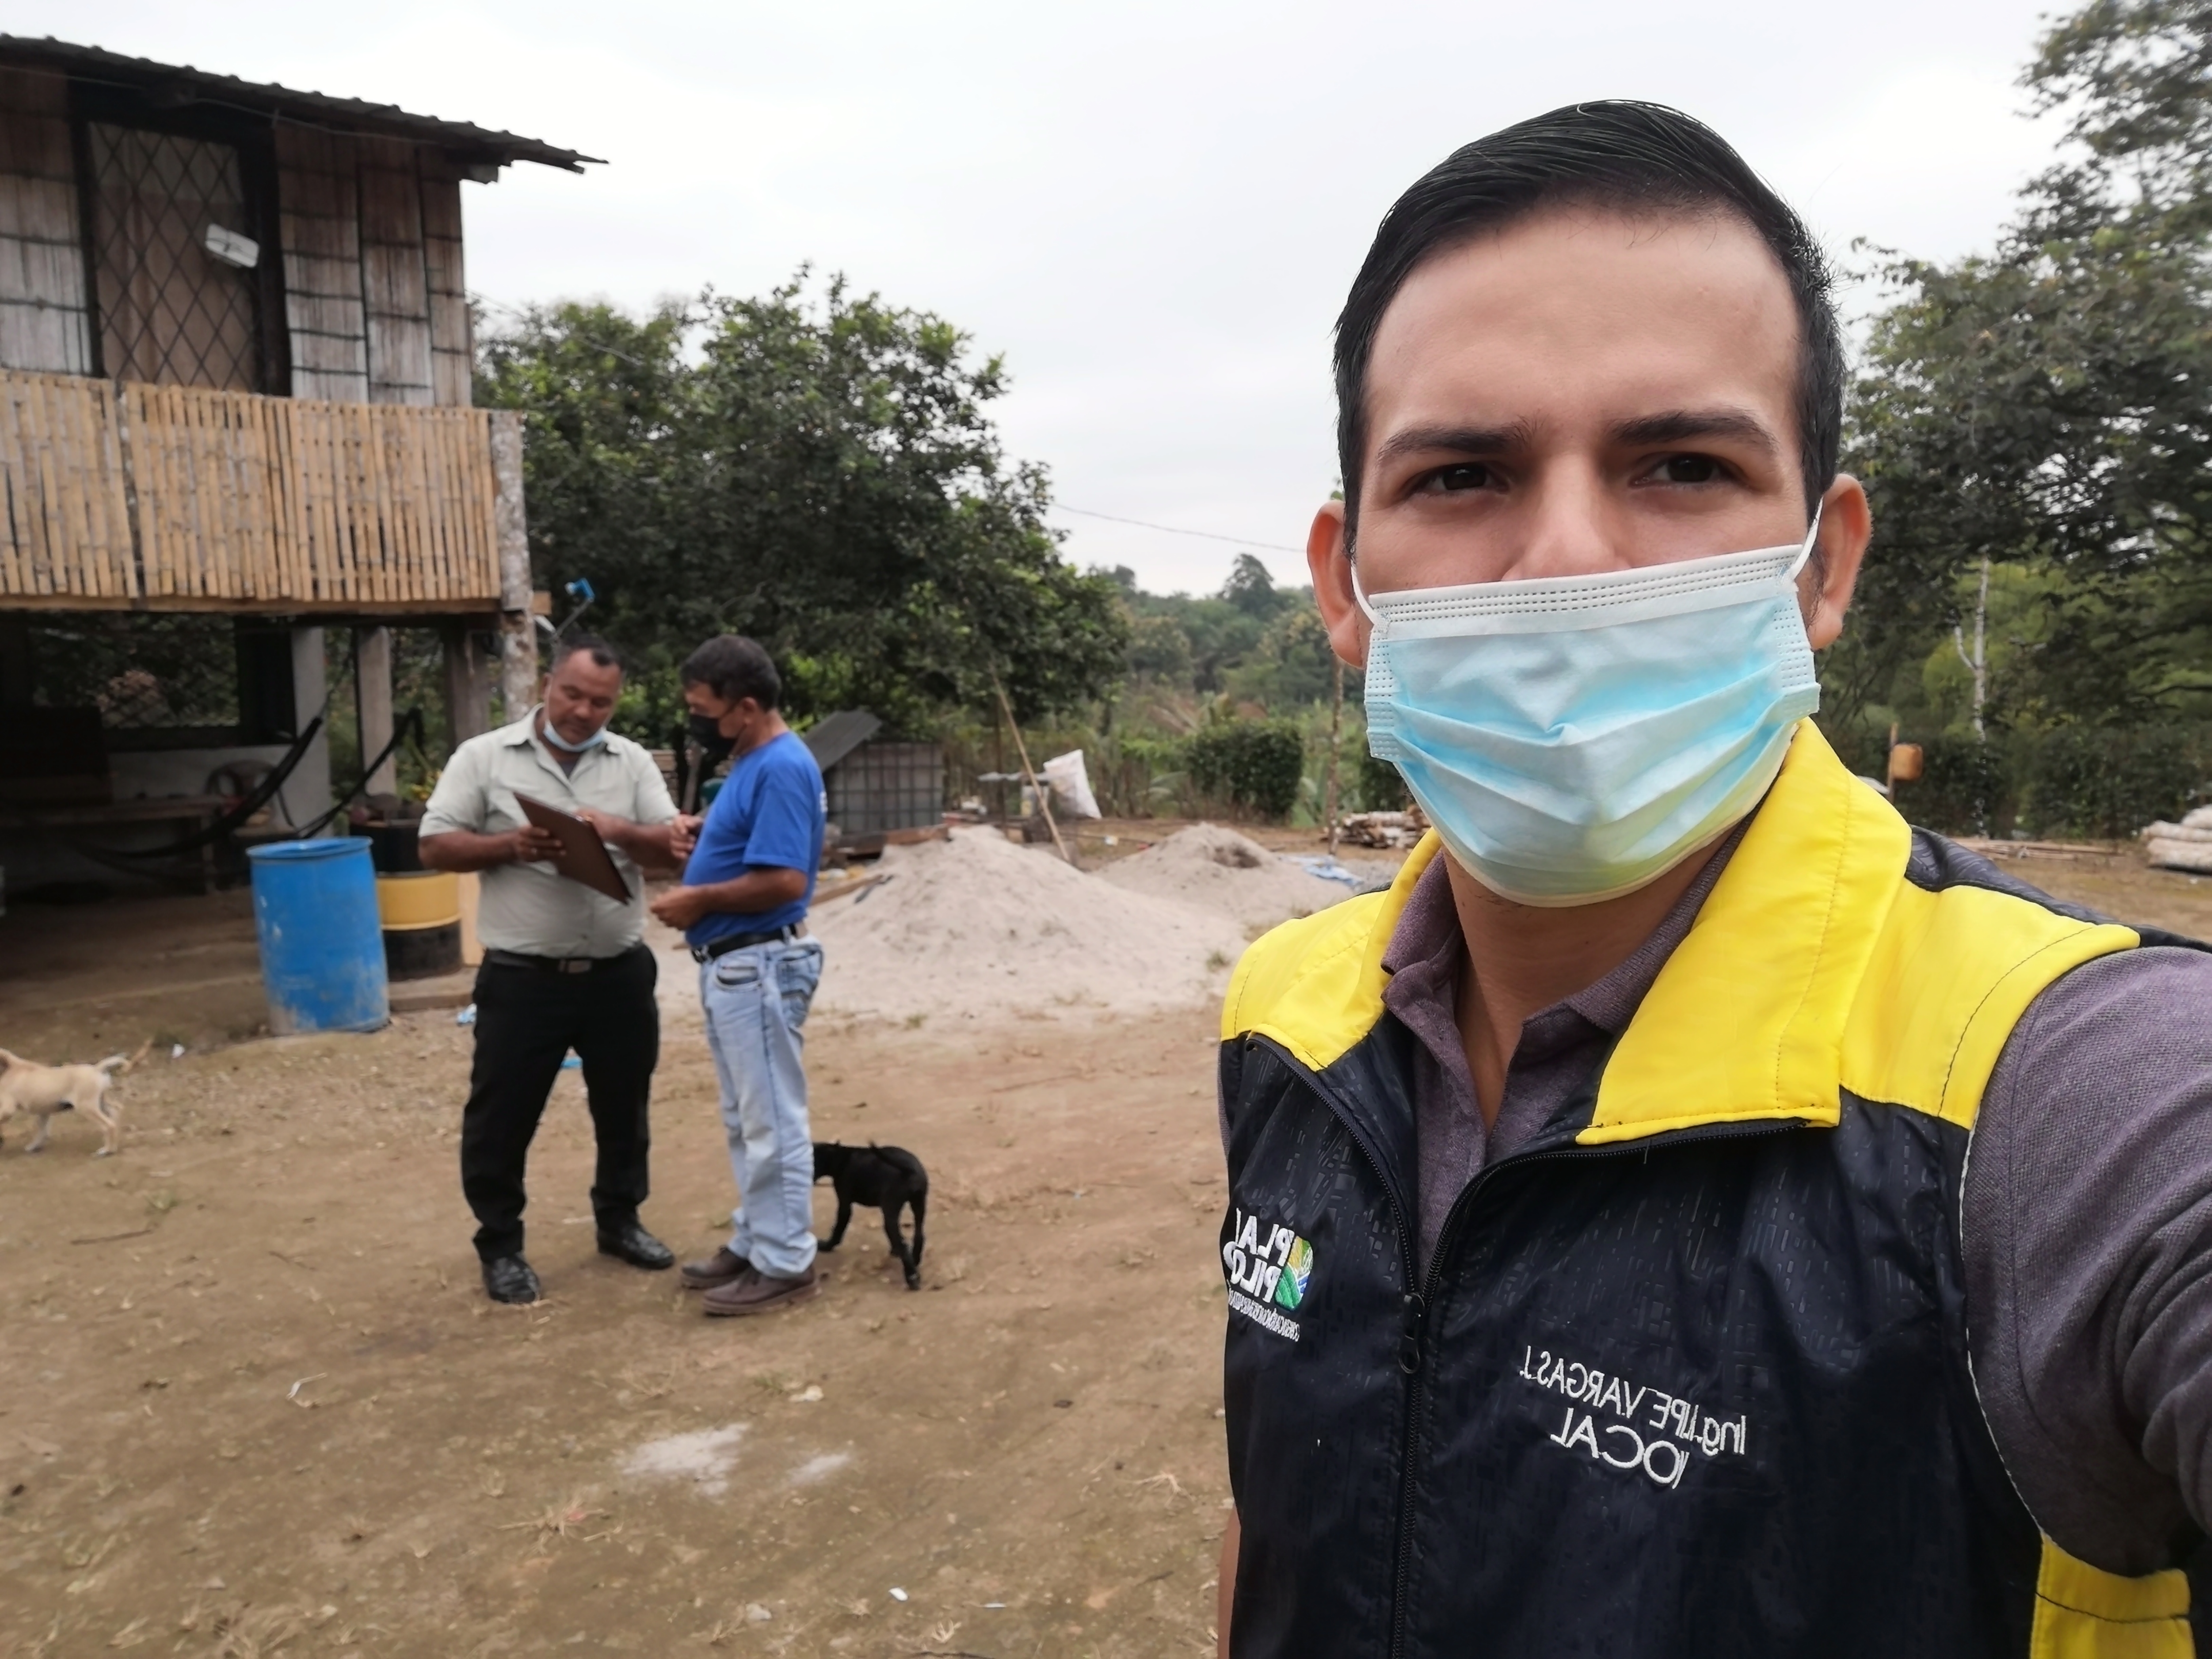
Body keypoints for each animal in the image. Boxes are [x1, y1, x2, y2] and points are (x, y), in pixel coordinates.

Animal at [0, 1039, 149, 1157]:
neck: (10, 1068)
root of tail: (97, 1069)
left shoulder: (8, 1109)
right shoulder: (44, 1113)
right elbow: (43, 1131)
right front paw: (35, 1146)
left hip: (87, 1108)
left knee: (109, 1125)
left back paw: (106, 1151)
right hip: (102, 1103)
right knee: (115, 1112)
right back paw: (114, 1145)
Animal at [813, 1141, 928, 1290]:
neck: (840, 1158)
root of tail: (909, 1169)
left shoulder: (845, 1204)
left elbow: (838, 1228)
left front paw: (827, 1246)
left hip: (891, 1211)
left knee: (902, 1243)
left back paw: (912, 1278)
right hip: (919, 1206)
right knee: (919, 1236)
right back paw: (915, 1261)